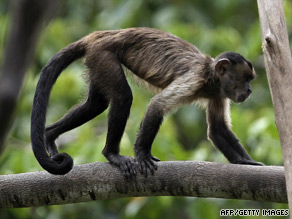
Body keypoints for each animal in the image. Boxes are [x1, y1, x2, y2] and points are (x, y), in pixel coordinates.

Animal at [30, 27, 262, 178]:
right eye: (245, 78)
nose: (250, 90)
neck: (211, 77)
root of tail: (100, 34)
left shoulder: (219, 93)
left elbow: (217, 128)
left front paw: (246, 162)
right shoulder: (195, 79)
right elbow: (157, 105)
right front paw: (142, 154)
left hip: (95, 59)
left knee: (96, 104)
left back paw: (50, 134)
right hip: (103, 54)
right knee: (122, 97)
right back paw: (112, 154)